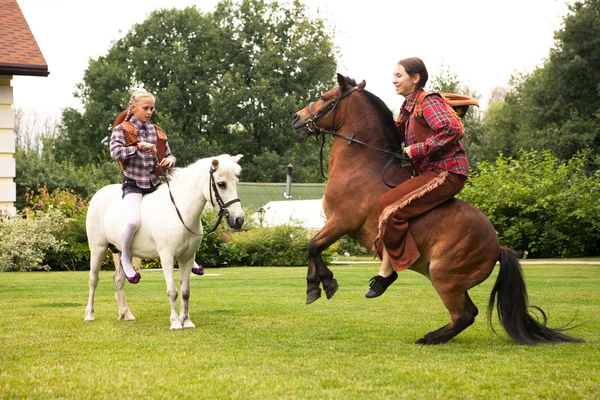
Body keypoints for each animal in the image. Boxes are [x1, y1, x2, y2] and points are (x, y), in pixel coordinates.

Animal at [83, 153, 245, 328]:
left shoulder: (187, 258)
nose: (239, 219)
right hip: (98, 248)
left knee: (119, 280)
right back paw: (89, 315)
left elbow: (185, 292)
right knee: (93, 279)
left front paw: (186, 321)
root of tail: (98, 194)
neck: (179, 212)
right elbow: (172, 291)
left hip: (124, 252)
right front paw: (175, 322)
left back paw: (126, 314)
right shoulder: (167, 257)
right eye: (221, 184)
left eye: (236, 182)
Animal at [290, 73, 580, 346]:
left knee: (464, 315)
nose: (296, 118)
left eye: (325, 97)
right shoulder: (339, 224)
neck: (362, 163)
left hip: (444, 277)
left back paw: (428, 338)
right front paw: (320, 284)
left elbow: (313, 246)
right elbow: (314, 247)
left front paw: (319, 286)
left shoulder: (341, 222)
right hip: (445, 279)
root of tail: (498, 247)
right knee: (469, 312)